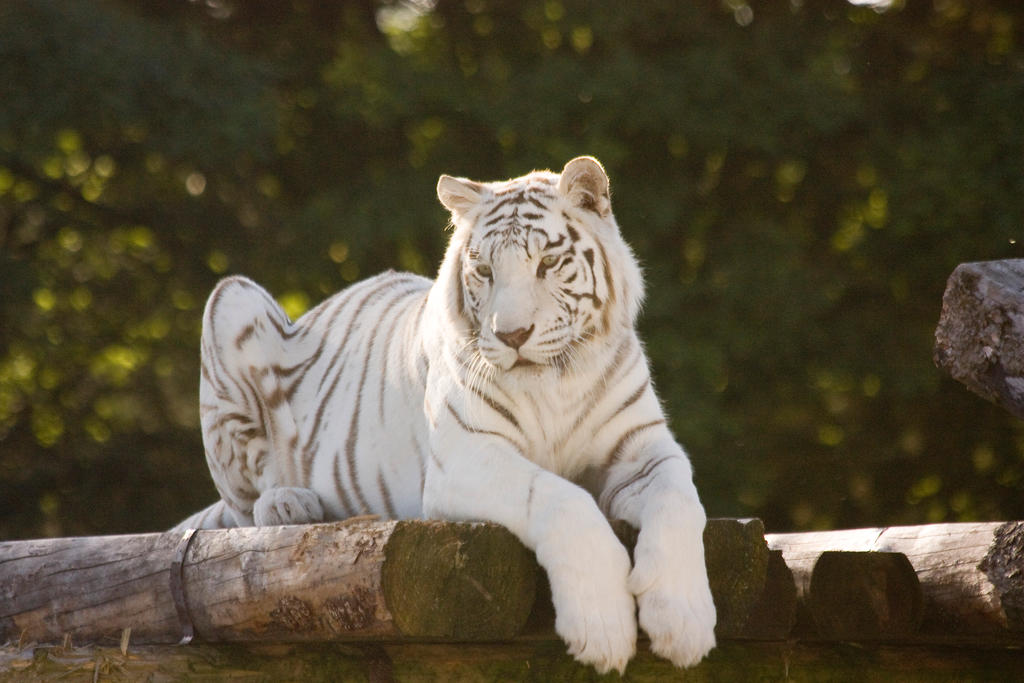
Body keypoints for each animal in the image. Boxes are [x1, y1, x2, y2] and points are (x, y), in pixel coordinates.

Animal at [176, 156, 716, 674]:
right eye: (485, 271)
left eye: (548, 262)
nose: (512, 336)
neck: (556, 382)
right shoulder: (466, 456)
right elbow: (561, 499)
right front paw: (602, 628)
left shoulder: (645, 451)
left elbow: (680, 504)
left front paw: (683, 623)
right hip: (232, 299)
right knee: (244, 507)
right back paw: (288, 503)